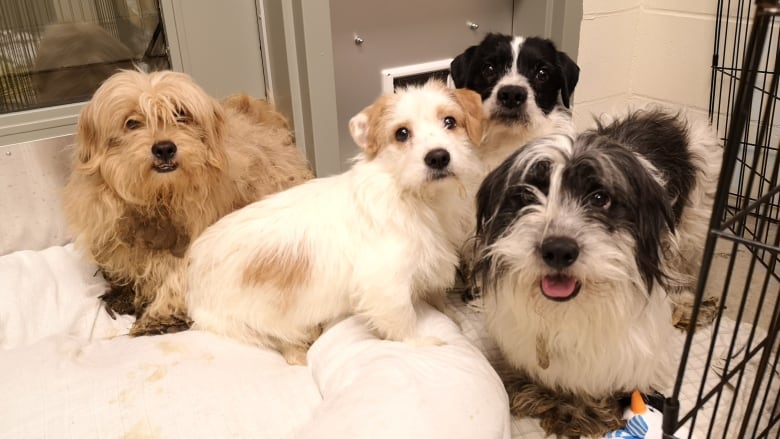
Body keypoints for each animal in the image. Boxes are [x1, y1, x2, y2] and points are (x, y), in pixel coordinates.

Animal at [61, 69, 310, 336]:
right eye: (132, 123)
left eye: (181, 114)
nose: (164, 148)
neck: (160, 197)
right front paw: (124, 293)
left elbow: (179, 275)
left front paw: (160, 316)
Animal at [186, 81, 484, 364]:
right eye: (401, 133)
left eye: (450, 121)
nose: (438, 157)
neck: (418, 198)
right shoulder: (387, 285)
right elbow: (403, 322)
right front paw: (423, 343)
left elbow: (439, 302)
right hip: (255, 323)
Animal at [472, 109, 724, 436]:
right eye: (527, 195)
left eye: (600, 198)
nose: (558, 249)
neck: (571, 308)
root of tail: (664, 116)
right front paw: (547, 395)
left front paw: (582, 407)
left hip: (695, 227)